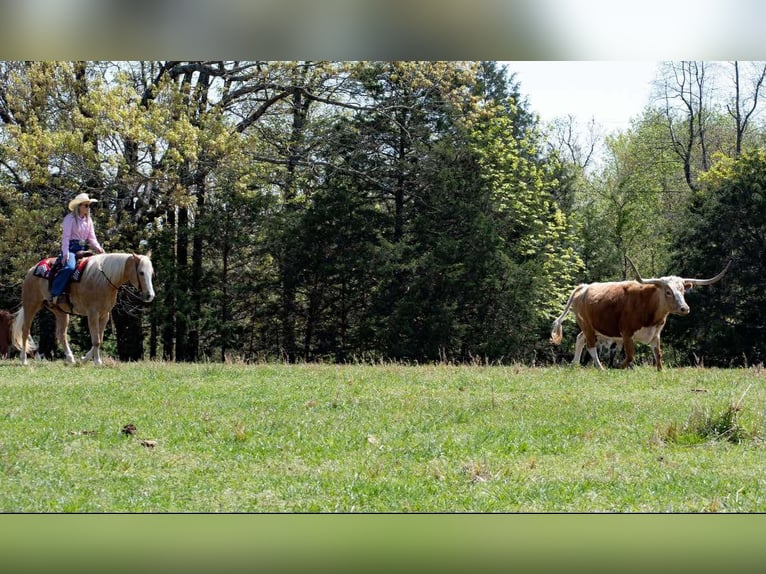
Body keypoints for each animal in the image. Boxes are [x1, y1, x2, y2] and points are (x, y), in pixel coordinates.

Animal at [12, 252, 155, 365]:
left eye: (151, 273)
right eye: (141, 272)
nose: (150, 295)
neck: (104, 280)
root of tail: (32, 270)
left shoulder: (104, 315)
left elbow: (99, 338)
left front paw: (84, 359)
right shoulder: (93, 314)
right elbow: (96, 340)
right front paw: (97, 361)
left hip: (60, 312)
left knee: (61, 334)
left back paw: (70, 358)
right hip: (31, 306)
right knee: (25, 331)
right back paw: (23, 360)